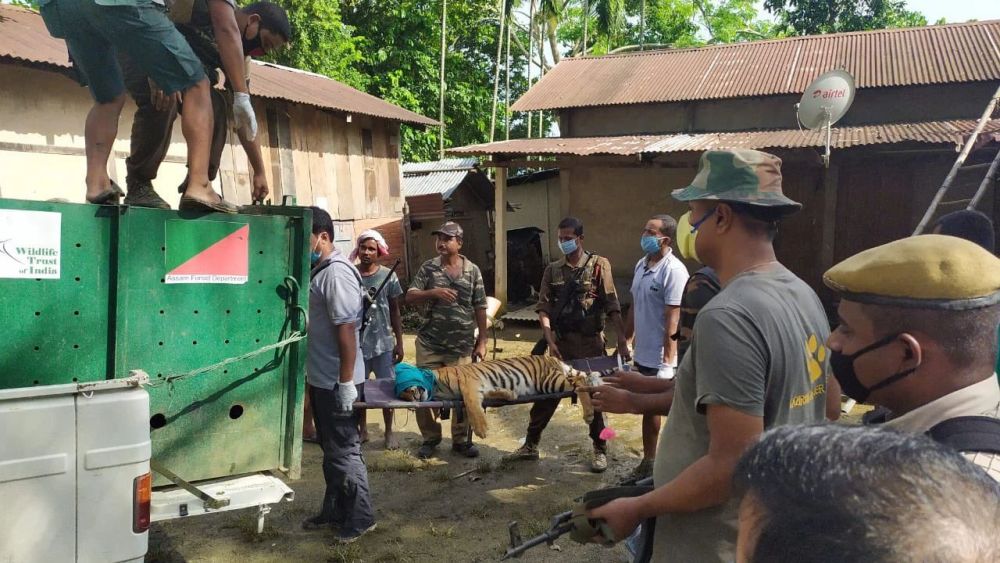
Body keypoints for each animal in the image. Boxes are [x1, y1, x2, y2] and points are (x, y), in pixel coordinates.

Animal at [394, 356, 604, 440]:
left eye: (405, 389)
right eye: (401, 394)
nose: (411, 397)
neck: (436, 386)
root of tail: (552, 358)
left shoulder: (470, 385)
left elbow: (472, 405)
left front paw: (481, 430)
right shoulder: (483, 387)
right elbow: (494, 392)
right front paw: (510, 394)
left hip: (549, 381)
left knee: (580, 382)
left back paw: (589, 415)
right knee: (583, 378)